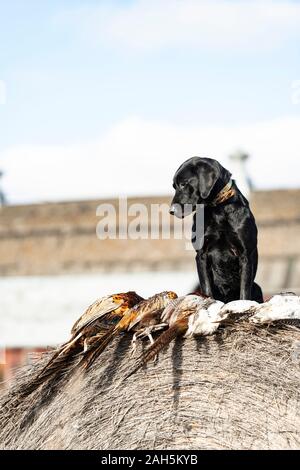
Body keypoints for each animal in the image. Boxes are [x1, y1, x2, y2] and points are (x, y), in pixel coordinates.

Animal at [171, 157, 262, 304]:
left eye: (184, 184)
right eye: (174, 186)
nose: (171, 211)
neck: (217, 209)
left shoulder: (245, 255)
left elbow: (244, 291)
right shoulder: (201, 255)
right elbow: (207, 288)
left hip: (257, 287)